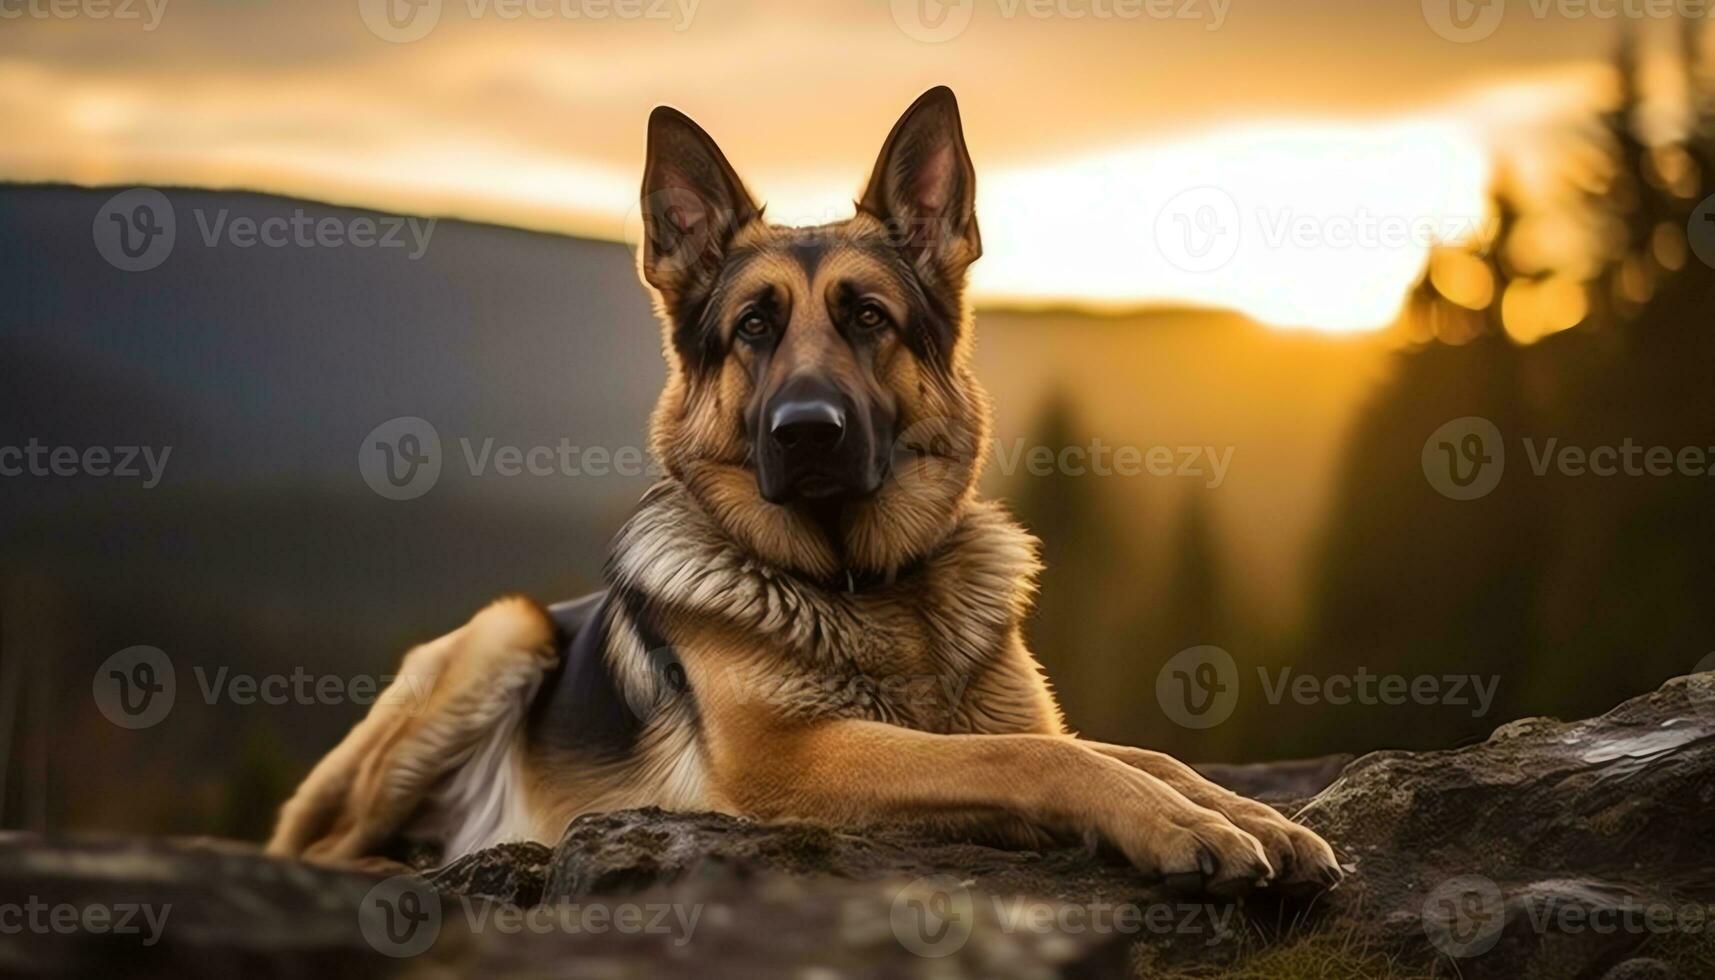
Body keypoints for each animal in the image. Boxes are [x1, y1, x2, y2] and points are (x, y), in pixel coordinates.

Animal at [264, 88, 1337, 899]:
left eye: (868, 317)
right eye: (752, 327)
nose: (805, 431)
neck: (870, 588)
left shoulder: (1003, 717)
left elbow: (1141, 755)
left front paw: (1246, 813)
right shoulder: (797, 760)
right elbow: (1045, 758)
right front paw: (1183, 829)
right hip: (504, 631)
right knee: (317, 848)